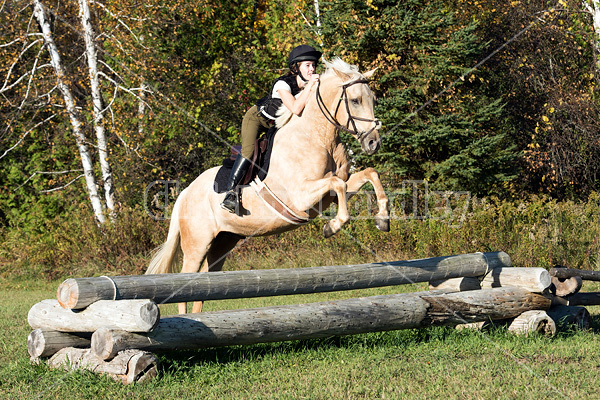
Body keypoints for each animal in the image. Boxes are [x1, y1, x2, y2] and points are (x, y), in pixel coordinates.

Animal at [145, 57, 390, 312]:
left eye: (373, 100)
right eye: (355, 100)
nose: (373, 143)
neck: (319, 137)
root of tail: (185, 193)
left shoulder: (329, 193)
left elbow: (367, 175)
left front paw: (383, 219)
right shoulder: (301, 197)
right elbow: (337, 184)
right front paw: (332, 227)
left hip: (224, 242)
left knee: (203, 285)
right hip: (197, 243)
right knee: (185, 282)